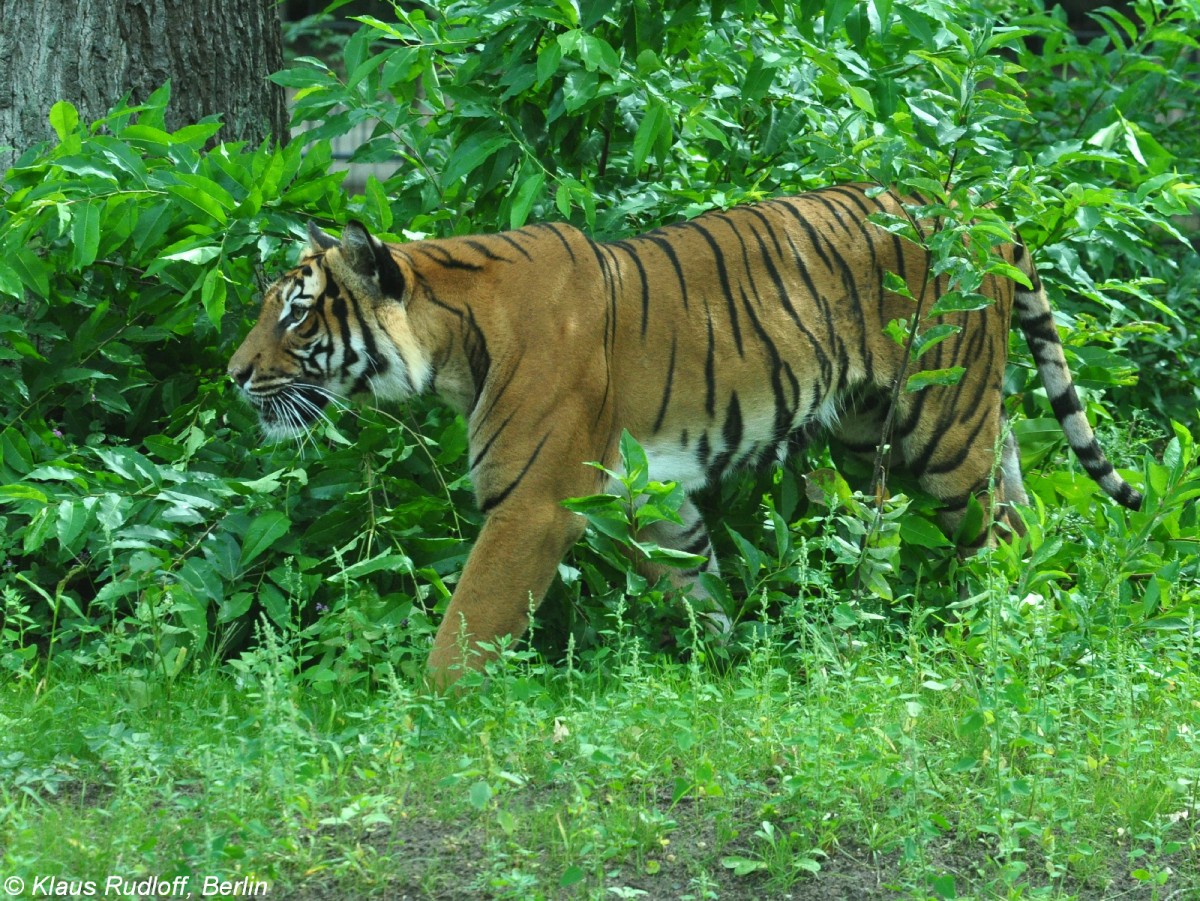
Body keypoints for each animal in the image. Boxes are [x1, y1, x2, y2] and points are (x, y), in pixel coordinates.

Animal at [226, 187, 1142, 686]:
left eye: (295, 314)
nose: (234, 374)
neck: (450, 341)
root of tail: (981, 210)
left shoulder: (529, 505)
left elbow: (465, 629)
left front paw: (424, 707)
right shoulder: (650, 497)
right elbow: (696, 586)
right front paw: (732, 661)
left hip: (941, 424)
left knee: (999, 530)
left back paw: (1001, 624)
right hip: (874, 426)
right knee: (1011, 491)